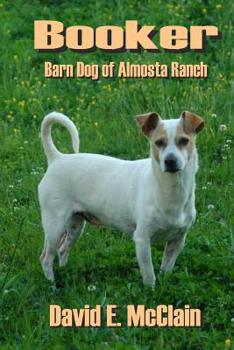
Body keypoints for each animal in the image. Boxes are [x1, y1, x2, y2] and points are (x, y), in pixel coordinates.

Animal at [38, 111, 203, 288]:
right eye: (159, 142)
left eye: (184, 141)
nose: (170, 160)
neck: (169, 191)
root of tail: (57, 158)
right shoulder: (142, 240)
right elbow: (149, 274)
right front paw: (151, 291)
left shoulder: (177, 241)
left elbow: (166, 269)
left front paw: (163, 286)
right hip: (54, 226)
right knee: (46, 258)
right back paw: (52, 285)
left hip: (75, 226)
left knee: (63, 249)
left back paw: (65, 272)